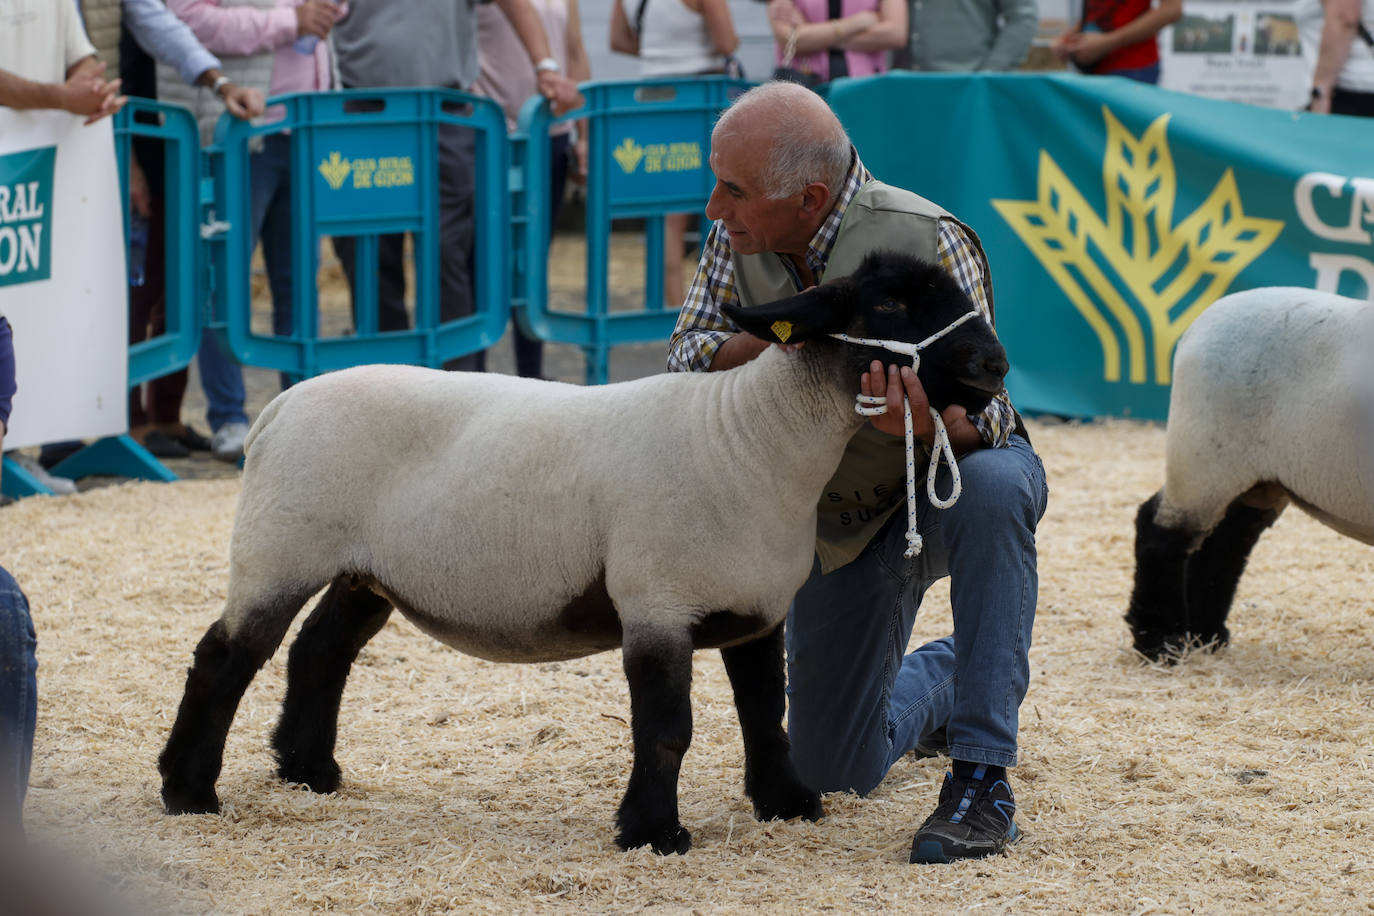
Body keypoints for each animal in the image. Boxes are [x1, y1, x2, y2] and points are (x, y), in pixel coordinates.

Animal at [158, 248, 1011, 851]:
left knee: (319, 651)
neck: (751, 438)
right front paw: (653, 834)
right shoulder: (657, 606)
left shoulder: (756, 609)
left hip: (365, 570)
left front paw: (788, 804)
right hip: (280, 546)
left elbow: (766, 713)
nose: (994, 364)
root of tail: (277, 409)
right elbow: (666, 730)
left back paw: (310, 772)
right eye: (891, 303)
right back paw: (188, 791)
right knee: (224, 657)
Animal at [1126, 287, 1374, 659]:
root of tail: (1203, 321)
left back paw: (1205, 634)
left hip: (1256, 478)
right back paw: (1161, 640)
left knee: (1226, 541)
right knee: (1164, 531)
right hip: (1203, 453)